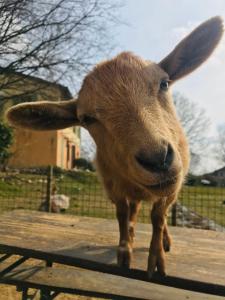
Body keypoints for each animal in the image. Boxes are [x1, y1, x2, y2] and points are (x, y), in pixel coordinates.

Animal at [6, 17, 223, 278]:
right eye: (87, 118)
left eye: (164, 83)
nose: (157, 159)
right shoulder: (112, 186)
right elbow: (122, 214)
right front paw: (124, 253)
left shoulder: (172, 187)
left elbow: (158, 217)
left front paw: (157, 259)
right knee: (133, 211)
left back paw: (165, 241)